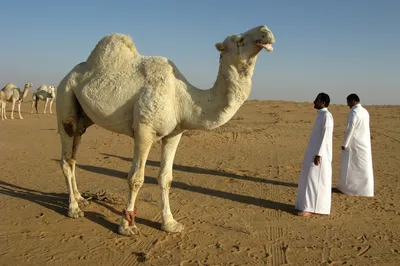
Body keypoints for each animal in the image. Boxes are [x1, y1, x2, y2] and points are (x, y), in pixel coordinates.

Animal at [56, 25, 276, 237]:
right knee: (66, 158)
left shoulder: (174, 134)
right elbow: (136, 178)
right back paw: (74, 209)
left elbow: (166, 178)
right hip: (65, 99)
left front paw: (170, 223)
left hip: (83, 120)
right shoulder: (144, 131)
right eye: (239, 39)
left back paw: (80, 198)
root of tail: (66, 76)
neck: (183, 99)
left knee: (73, 156)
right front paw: (126, 226)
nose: (266, 31)